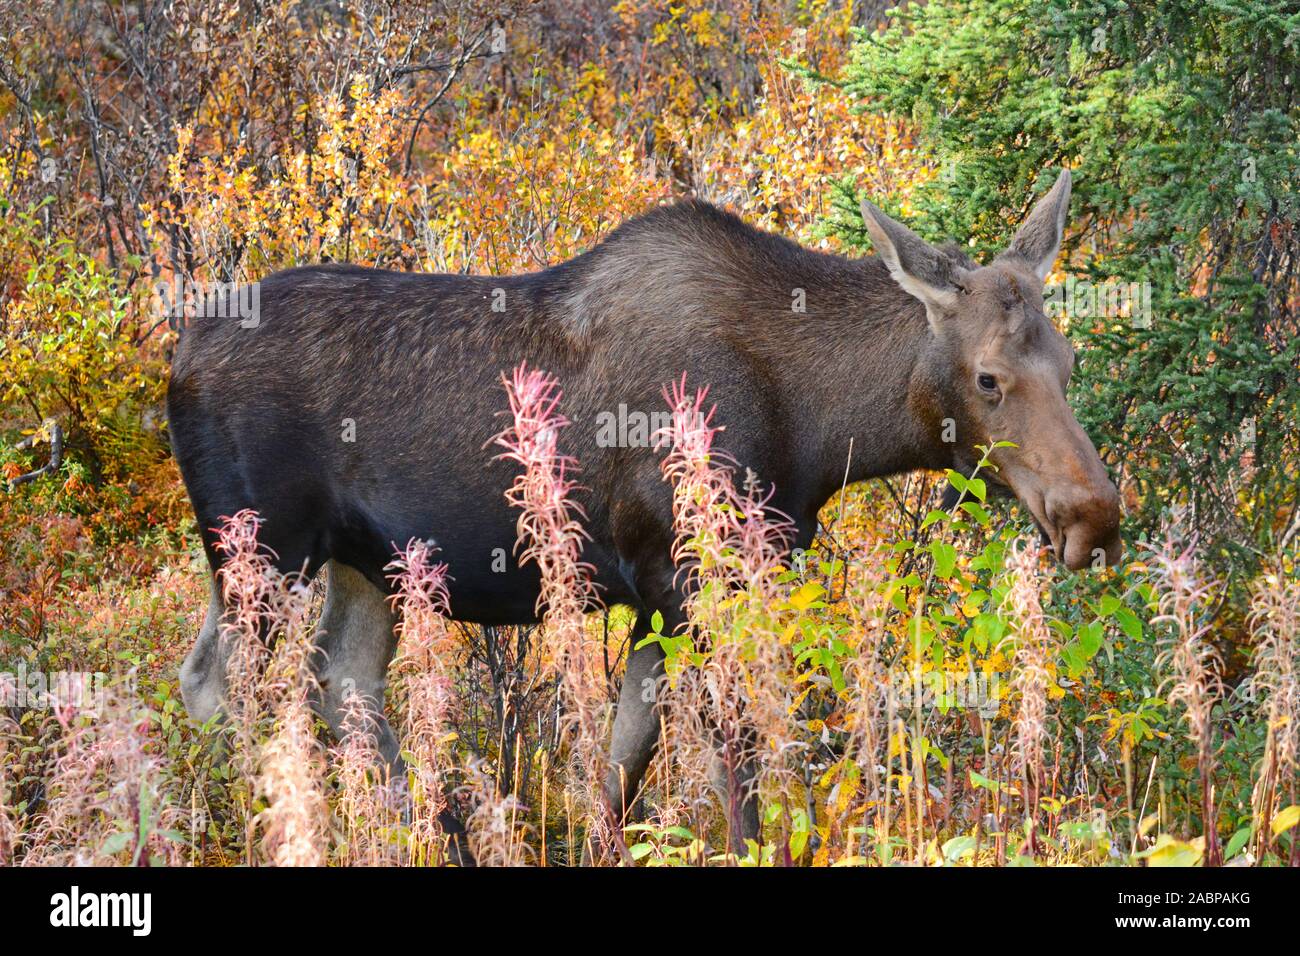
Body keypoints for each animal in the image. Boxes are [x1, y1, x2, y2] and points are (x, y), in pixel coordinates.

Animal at [170, 167, 1128, 858]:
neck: (820, 425)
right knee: (219, 686)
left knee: (346, 686)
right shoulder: (686, 573)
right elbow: (734, 763)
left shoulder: (660, 599)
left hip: (367, 564)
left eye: (1071, 362)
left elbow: (621, 767)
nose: (1094, 514)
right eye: (988, 378)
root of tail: (177, 357)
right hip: (261, 549)